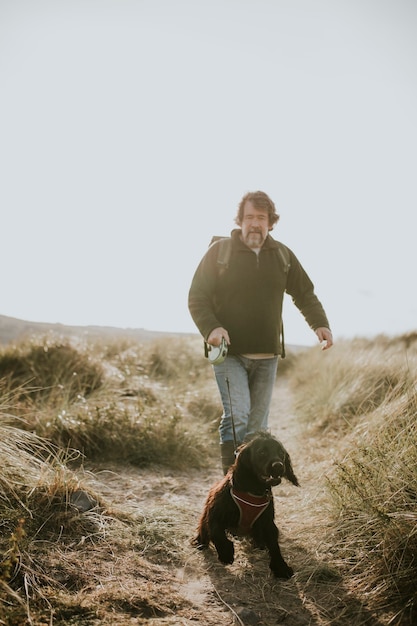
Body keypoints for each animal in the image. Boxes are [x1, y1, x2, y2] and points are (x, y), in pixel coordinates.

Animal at [193, 432, 298, 576]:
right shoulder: (215, 515)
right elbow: (217, 534)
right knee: (204, 530)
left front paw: (281, 567)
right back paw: (200, 543)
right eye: (262, 452)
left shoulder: (267, 523)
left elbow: (274, 546)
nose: (278, 466)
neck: (253, 490)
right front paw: (226, 554)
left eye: (281, 452)